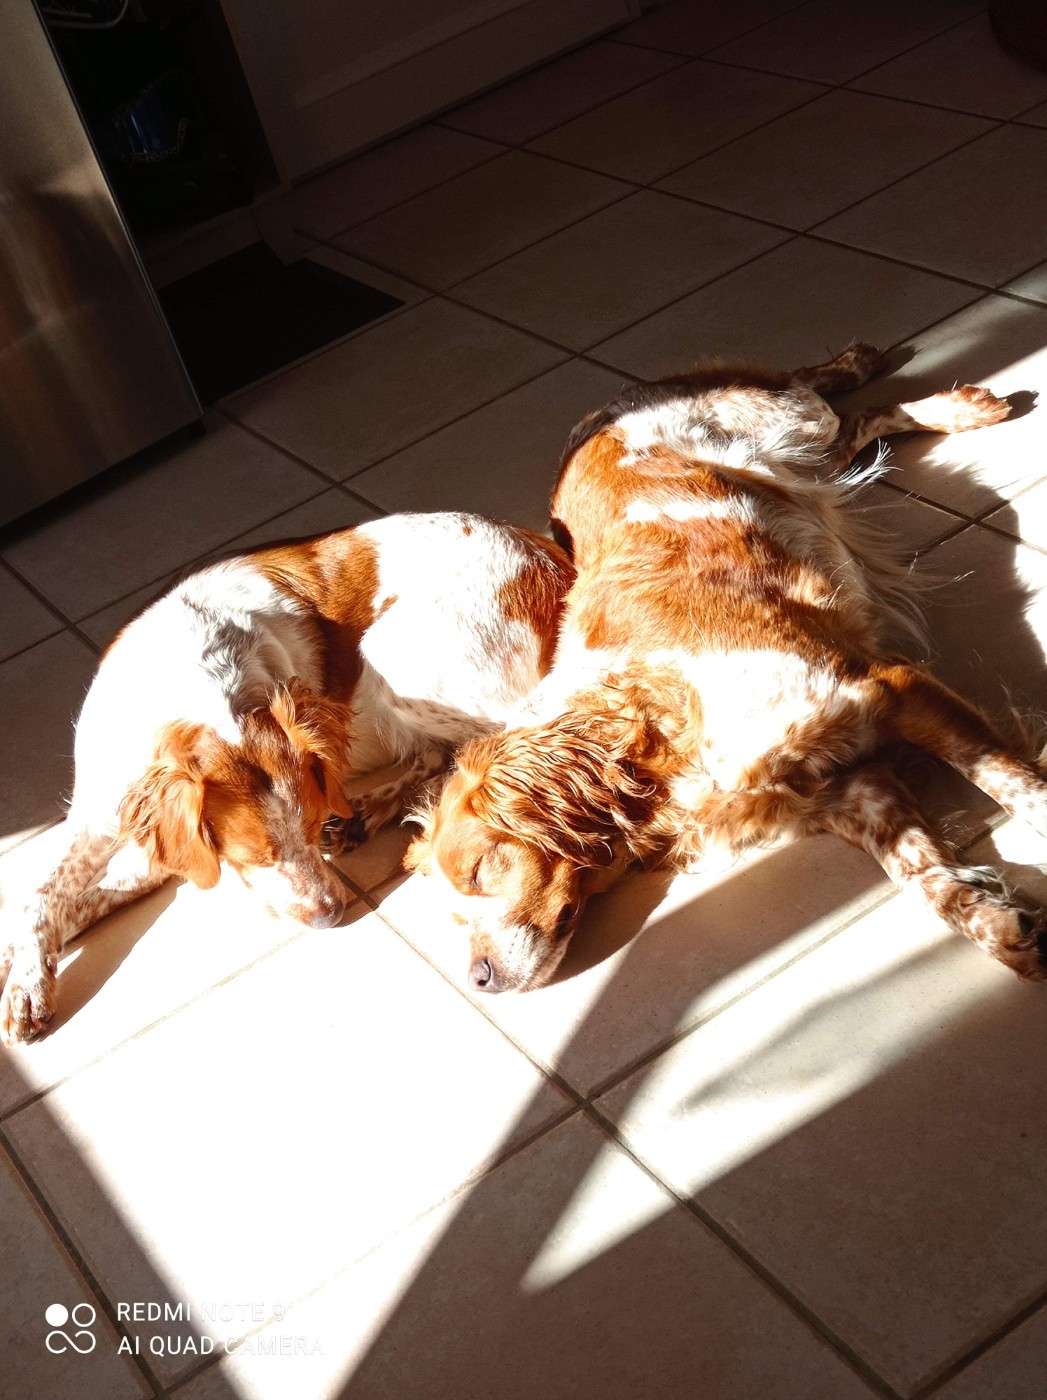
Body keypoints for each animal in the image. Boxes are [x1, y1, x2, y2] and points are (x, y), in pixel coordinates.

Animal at [1, 512, 572, 1043]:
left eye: (312, 824)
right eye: (256, 857)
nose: (332, 917)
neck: (184, 684)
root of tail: (554, 562)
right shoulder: (105, 813)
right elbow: (47, 895)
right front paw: (25, 969)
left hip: (394, 653)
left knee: (490, 749)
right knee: (441, 755)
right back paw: (368, 814)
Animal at [407, 344, 1047, 993]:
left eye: (481, 869)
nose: (477, 978)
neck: (655, 721)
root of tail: (603, 409)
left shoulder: (886, 687)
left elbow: (1018, 787)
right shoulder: (848, 791)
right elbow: (922, 877)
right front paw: (1000, 927)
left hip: (792, 417)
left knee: (828, 395)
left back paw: (911, 385)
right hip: (802, 462)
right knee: (854, 430)